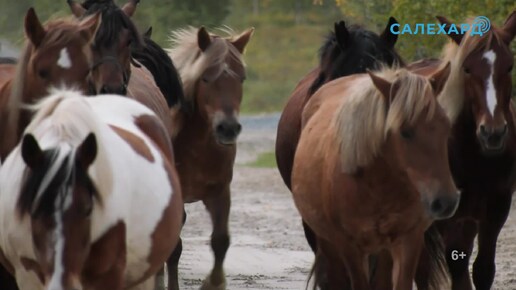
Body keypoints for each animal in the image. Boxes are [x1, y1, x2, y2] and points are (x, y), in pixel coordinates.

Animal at [166, 26, 253, 288]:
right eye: (205, 78)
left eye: (241, 78)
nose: (228, 128)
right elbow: (174, 248)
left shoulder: (220, 191)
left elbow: (221, 241)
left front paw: (213, 282)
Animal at [290, 65, 460, 290]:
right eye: (405, 132)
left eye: (446, 126)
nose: (446, 201)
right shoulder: (350, 247)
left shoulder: (409, 239)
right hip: (328, 243)